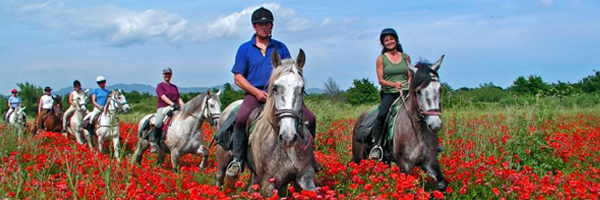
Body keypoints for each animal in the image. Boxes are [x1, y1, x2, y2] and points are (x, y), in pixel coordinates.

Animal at [352, 54, 446, 191]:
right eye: (418, 91)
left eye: (439, 89)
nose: (435, 124)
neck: (417, 130)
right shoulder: (404, 165)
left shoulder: (429, 161)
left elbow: (442, 184)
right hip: (358, 155)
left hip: (384, 159)